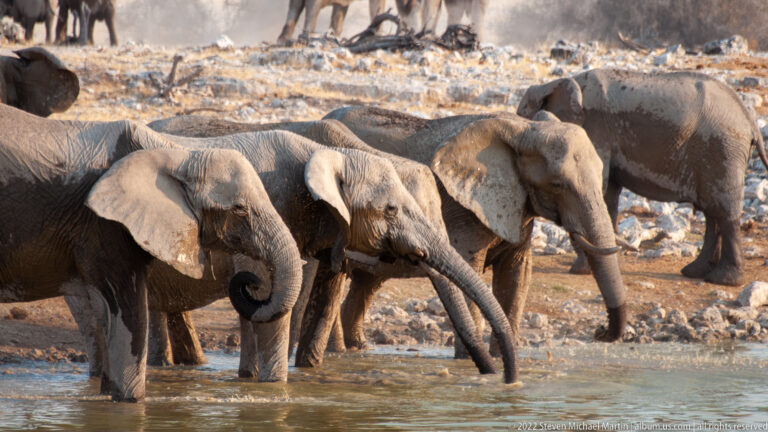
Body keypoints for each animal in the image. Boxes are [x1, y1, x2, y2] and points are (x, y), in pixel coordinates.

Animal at [0, 104, 304, 402]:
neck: (177, 154)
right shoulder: (104, 226)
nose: (252, 282)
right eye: (239, 209)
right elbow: (131, 316)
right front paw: (130, 404)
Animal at [323, 106, 628, 356]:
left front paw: (501, 356)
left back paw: (360, 349)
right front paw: (470, 360)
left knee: (368, 281)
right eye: (557, 184)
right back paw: (338, 352)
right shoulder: (464, 210)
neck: (525, 128)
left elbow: (516, 276)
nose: (599, 331)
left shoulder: (518, 206)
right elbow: (473, 268)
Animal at [516, 69, 768, 286]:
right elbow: (608, 196)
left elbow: (598, 188)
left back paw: (724, 280)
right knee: (711, 212)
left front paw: (581, 270)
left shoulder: (595, 130)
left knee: (723, 211)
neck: (556, 84)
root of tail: (749, 121)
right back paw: (695, 272)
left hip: (722, 148)